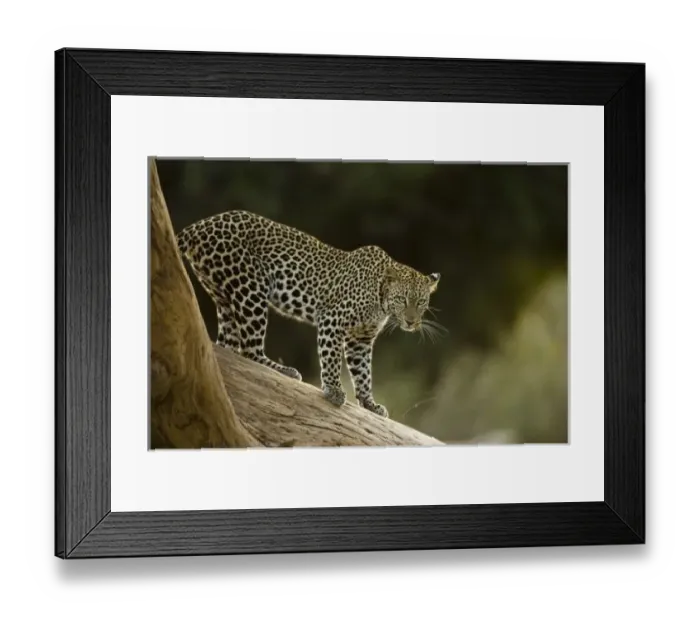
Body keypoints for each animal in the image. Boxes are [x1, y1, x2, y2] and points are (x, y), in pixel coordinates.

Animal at [176, 209, 441, 418]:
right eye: (403, 299)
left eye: (421, 302)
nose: (411, 322)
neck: (381, 301)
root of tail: (202, 223)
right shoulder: (332, 321)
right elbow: (331, 360)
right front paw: (334, 391)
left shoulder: (361, 340)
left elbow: (364, 373)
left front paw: (370, 404)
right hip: (250, 289)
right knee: (249, 350)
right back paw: (284, 370)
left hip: (224, 295)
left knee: (228, 348)